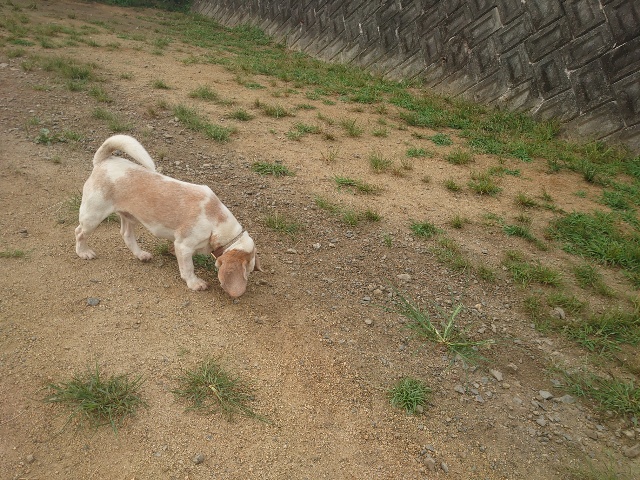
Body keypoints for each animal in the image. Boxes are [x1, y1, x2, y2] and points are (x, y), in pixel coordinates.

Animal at [75, 134, 261, 297]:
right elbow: (188, 268)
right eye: (247, 271)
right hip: (93, 216)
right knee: (79, 232)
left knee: (126, 235)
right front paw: (195, 283)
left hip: (130, 216)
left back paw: (140, 254)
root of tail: (104, 160)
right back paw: (83, 252)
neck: (216, 220)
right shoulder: (184, 246)